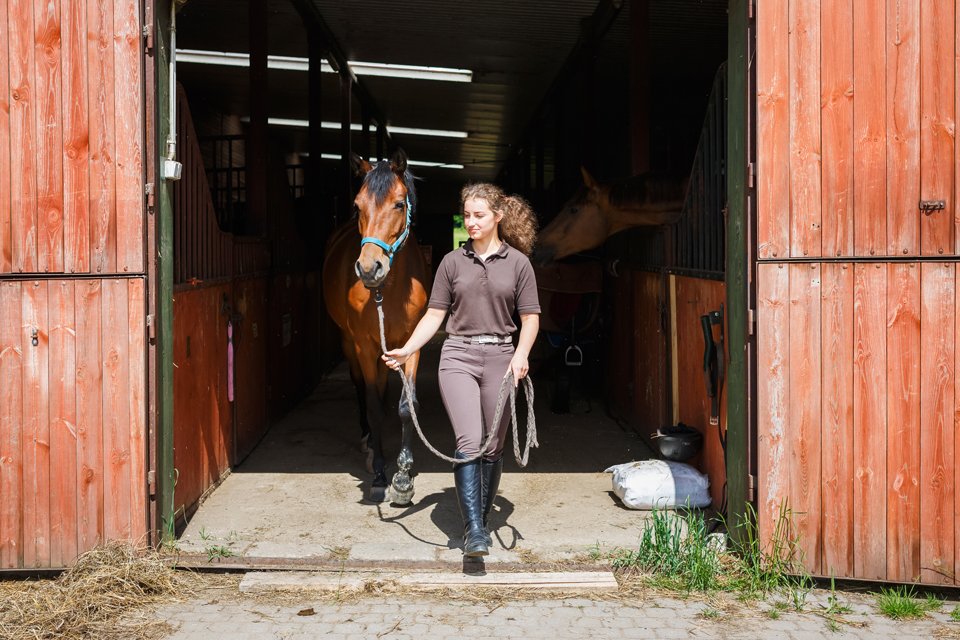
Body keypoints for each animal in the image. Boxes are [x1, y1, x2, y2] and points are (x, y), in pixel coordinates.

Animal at [322, 148, 428, 502]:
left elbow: (406, 406)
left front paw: (404, 477)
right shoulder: (365, 345)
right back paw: (368, 443)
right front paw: (381, 475)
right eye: (357, 206)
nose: (370, 269)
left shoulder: (411, 344)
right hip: (349, 343)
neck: (389, 289)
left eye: (399, 204)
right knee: (362, 389)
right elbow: (373, 407)